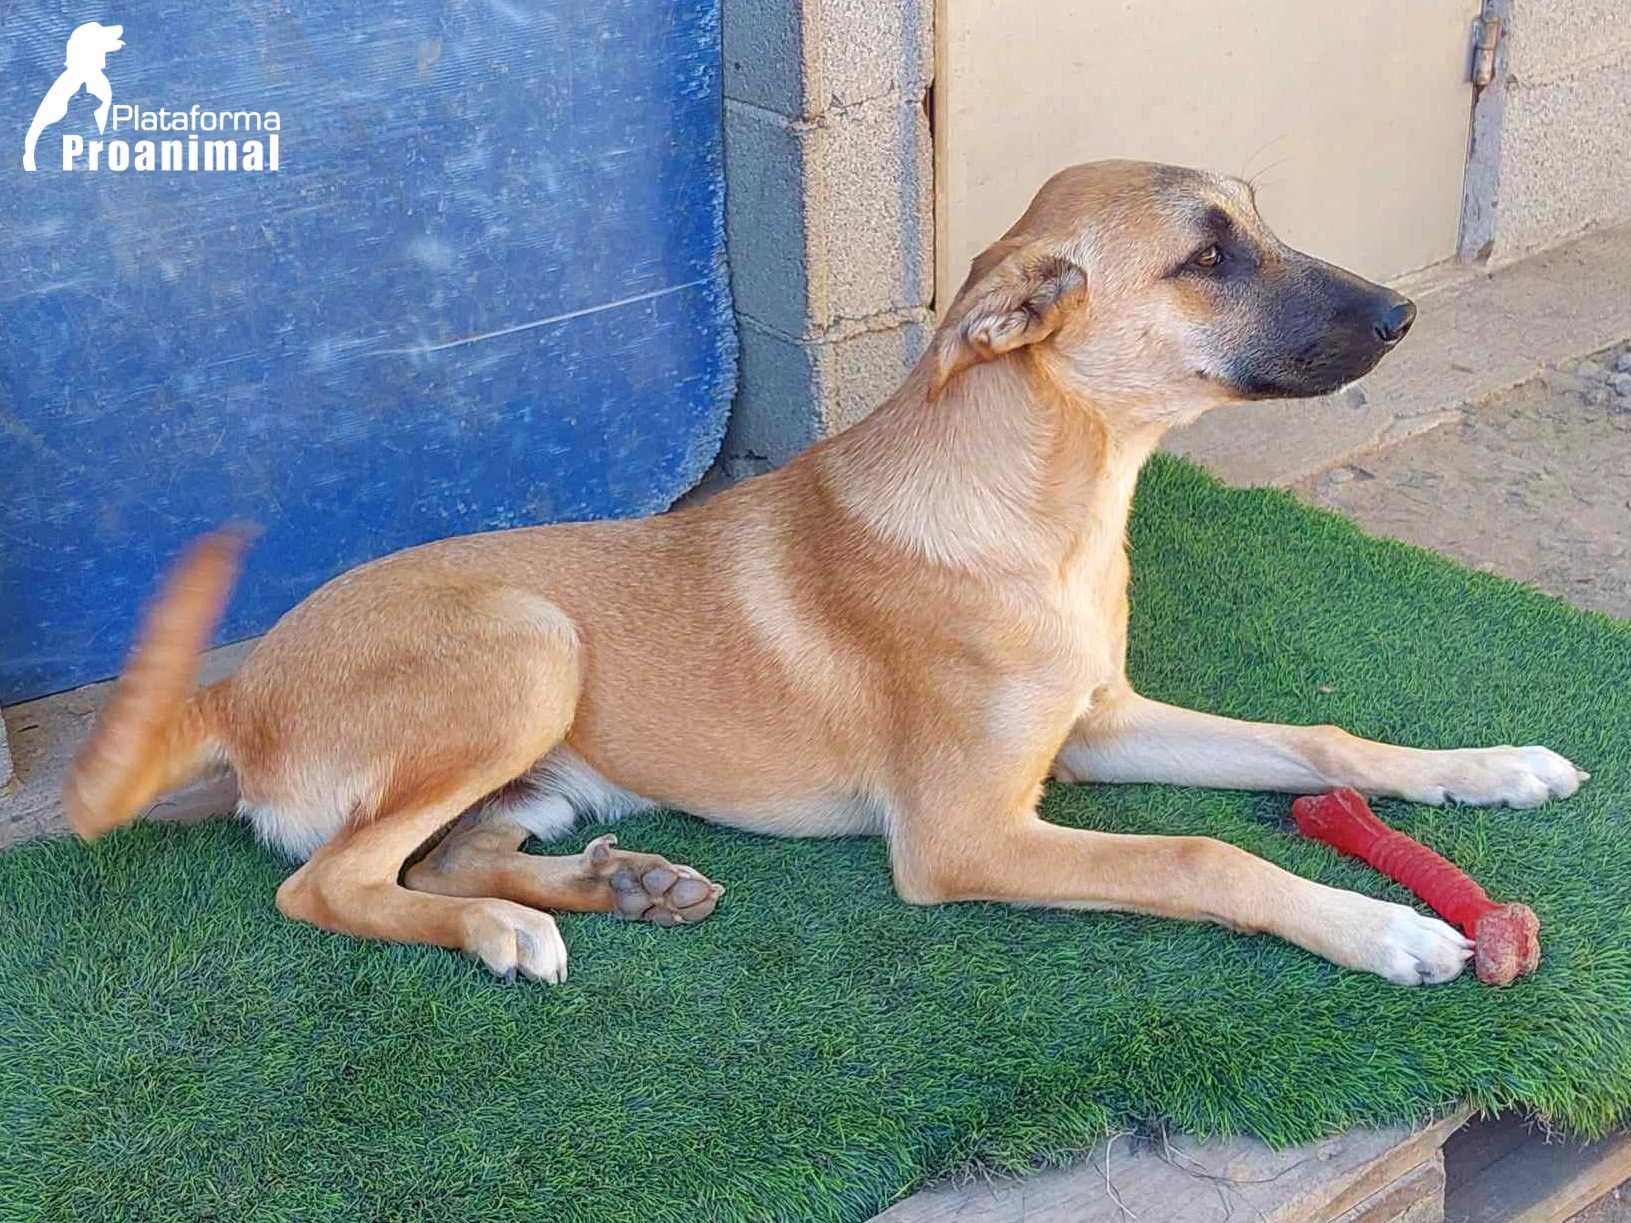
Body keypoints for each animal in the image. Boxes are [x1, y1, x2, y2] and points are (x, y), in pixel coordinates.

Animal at [70, 160, 1585, 984]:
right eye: (1205, 255)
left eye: (1254, 221)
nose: (1400, 312)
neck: (1046, 509)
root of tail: (236, 687)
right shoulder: (967, 834)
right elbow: (1203, 850)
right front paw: (1381, 927)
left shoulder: (1092, 728)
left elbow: (1315, 734)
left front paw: (1491, 764)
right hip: (526, 639)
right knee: (326, 882)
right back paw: (508, 931)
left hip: (536, 752)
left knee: (437, 852)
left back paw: (612, 885)